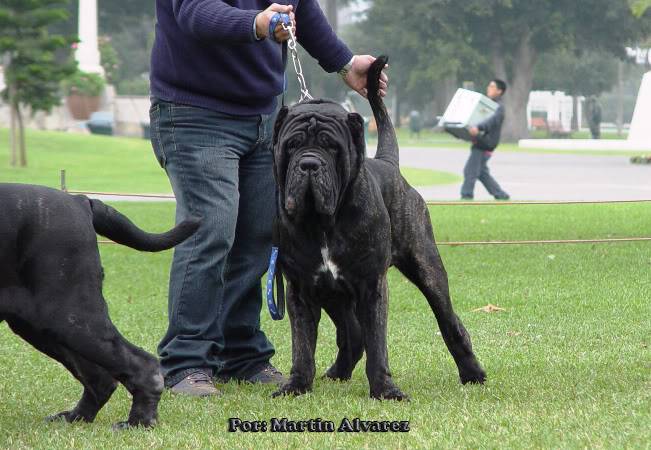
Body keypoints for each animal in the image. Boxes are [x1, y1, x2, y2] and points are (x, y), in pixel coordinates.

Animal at [0, 184, 200, 428]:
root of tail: (79, 201)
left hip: (67, 315)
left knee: (143, 365)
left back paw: (137, 423)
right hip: (44, 324)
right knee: (101, 380)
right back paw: (75, 417)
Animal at [272, 57, 486, 400]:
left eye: (332, 148)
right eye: (291, 146)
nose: (309, 164)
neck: (325, 223)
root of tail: (388, 162)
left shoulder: (371, 286)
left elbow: (377, 343)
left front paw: (385, 390)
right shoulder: (302, 289)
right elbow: (302, 346)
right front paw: (296, 385)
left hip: (428, 268)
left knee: (450, 323)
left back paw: (472, 372)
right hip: (333, 294)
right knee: (352, 334)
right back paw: (338, 371)